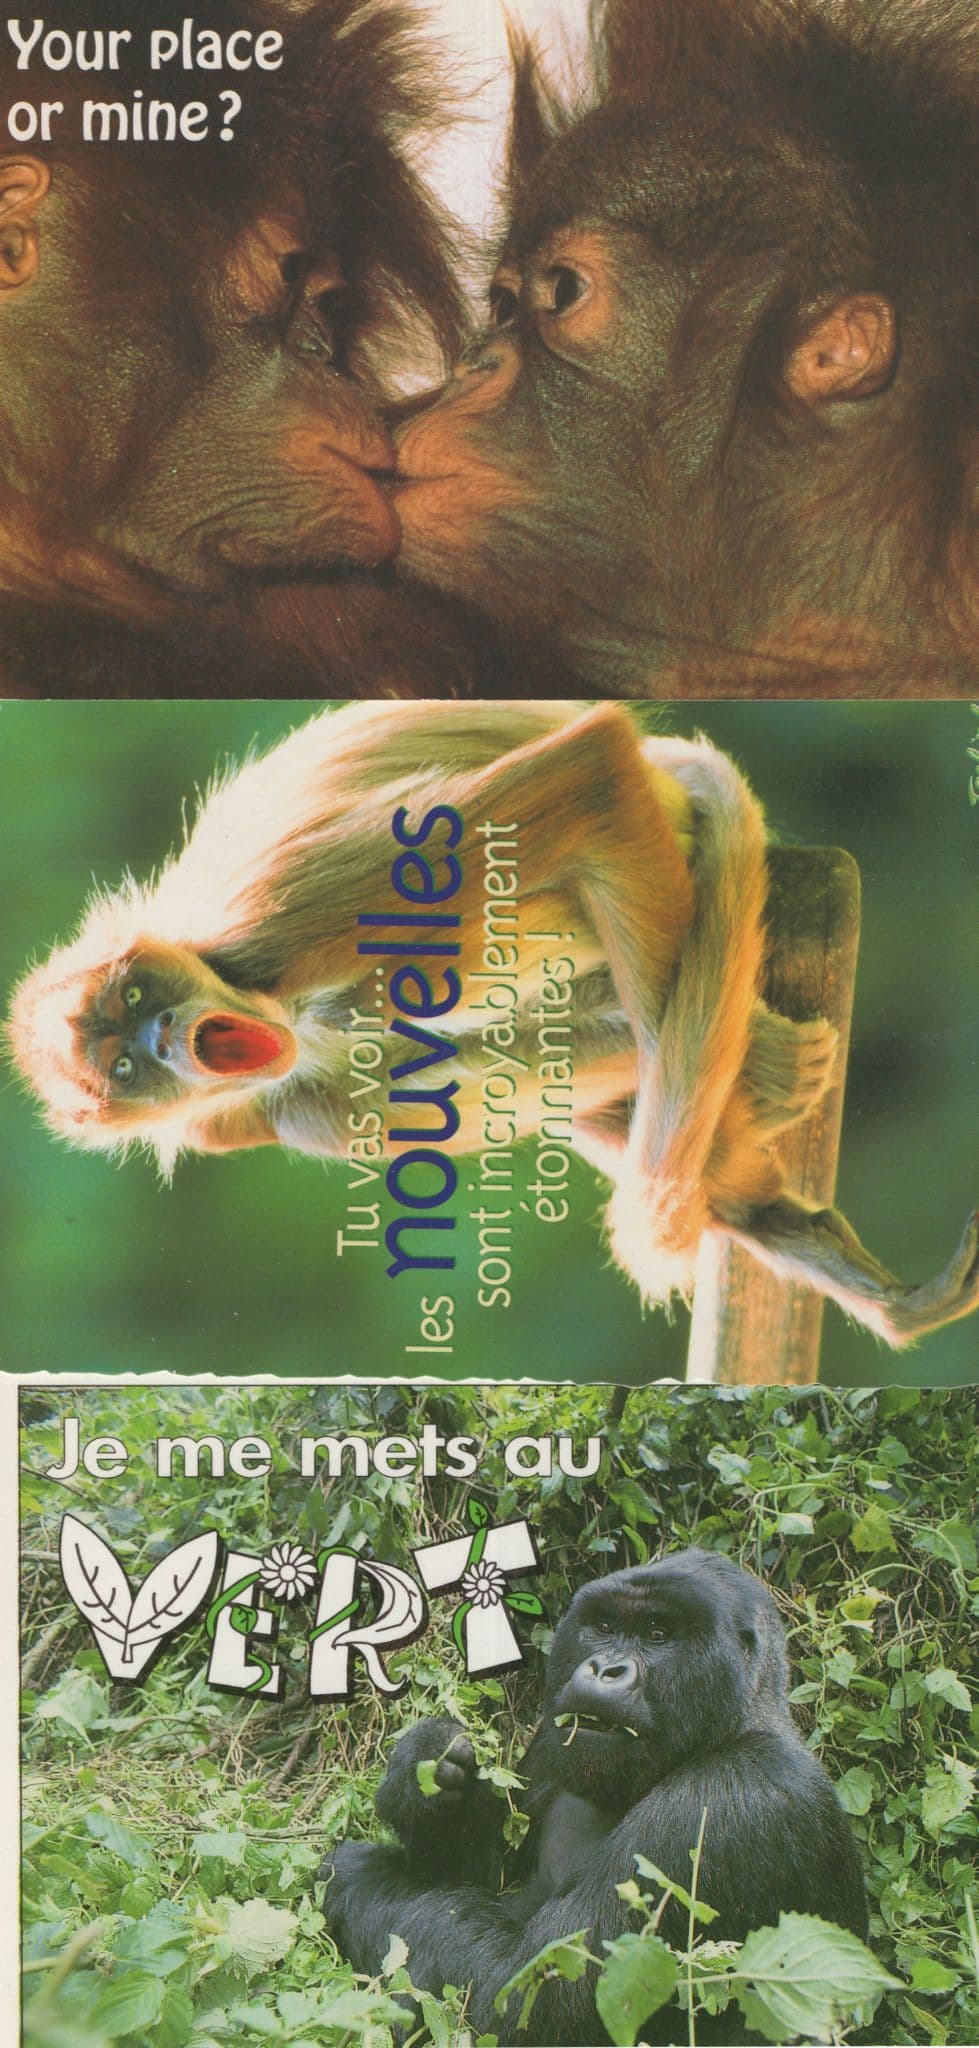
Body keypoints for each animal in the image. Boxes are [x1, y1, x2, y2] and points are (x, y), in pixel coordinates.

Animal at [9, 701, 978, 1350]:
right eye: (124, 1072)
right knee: (330, 1100)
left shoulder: (273, 918)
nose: (162, 1040)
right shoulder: (216, 1114)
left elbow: (589, 770)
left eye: (138, 1004)